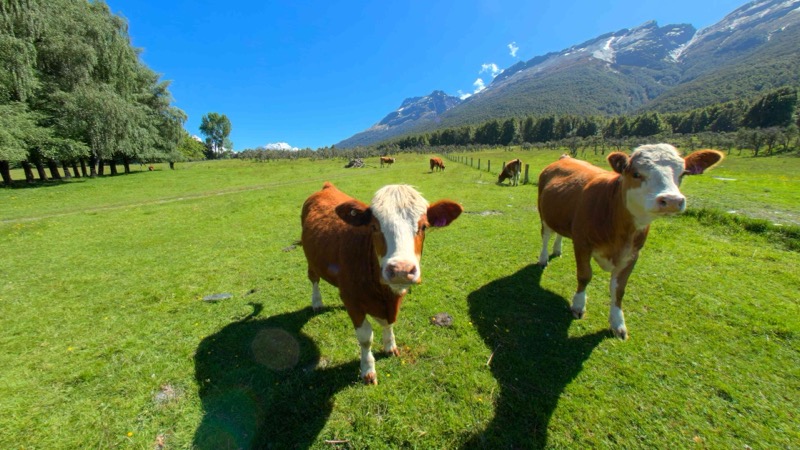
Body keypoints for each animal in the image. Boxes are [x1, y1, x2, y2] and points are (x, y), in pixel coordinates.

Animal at [301, 182, 462, 384]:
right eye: (374, 227)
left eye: (424, 226)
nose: (401, 270)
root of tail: (327, 187)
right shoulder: (352, 300)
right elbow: (365, 337)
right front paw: (368, 370)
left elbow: (388, 324)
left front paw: (390, 346)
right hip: (311, 260)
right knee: (313, 278)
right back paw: (317, 302)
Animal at [536, 143, 723, 340]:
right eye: (636, 173)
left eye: (683, 174)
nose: (672, 200)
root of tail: (565, 158)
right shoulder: (582, 244)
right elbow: (584, 275)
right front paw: (579, 305)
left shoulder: (632, 254)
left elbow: (619, 289)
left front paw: (618, 323)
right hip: (544, 214)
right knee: (546, 235)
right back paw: (543, 258)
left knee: (559, 233)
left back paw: (557, 250)